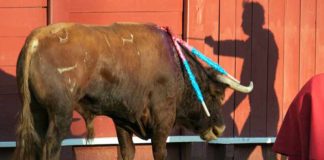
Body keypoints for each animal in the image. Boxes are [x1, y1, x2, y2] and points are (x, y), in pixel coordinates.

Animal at [15, 21, 253, 159]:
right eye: (216, 94)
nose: (220, 129)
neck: (177, 67)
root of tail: (36, 39)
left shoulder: (122, 119)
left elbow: (127, 151)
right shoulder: (163, 120)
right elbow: (159, 152)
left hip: (37, 112)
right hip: (60, 114)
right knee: (50, 148)